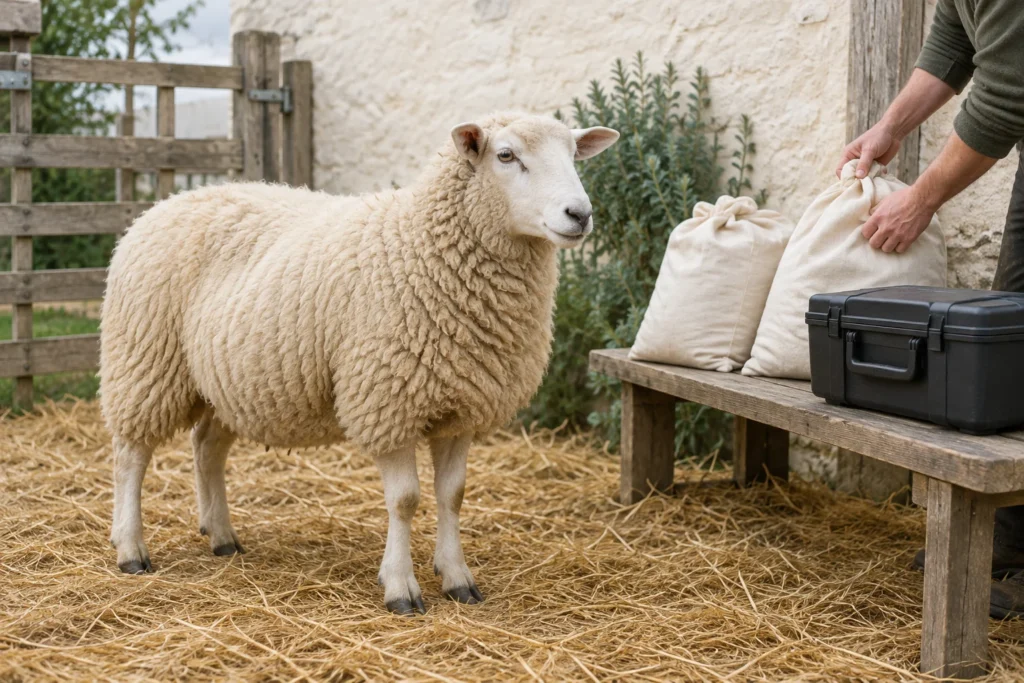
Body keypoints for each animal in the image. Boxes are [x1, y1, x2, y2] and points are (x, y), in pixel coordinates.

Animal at [100, 112, 619, 614]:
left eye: (574, 153)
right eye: (507, 155)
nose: (581, 214)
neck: (423, 243)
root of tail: (164, 204)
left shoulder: (462, 406)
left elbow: (452, 495)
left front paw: (457, 578)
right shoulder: (388, 400)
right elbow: (406, 500)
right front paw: (401, 587)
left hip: (225, 380)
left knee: (207, 447)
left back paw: (222, 536)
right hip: (144, 361)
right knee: (130, 455)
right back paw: (131, 549)